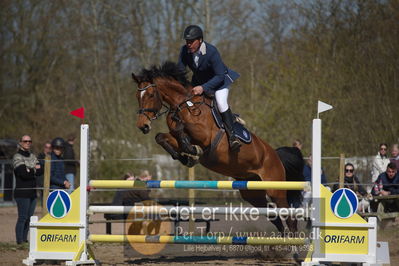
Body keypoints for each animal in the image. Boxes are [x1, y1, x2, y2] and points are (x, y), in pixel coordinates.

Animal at [133, 61, 304, 232]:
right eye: (137, 97)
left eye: (150, 95)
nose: (143, 126)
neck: (184, 105)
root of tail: (275, 155)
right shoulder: (175, 137)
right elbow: (161, 137)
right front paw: (184, 157)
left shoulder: (203, 135)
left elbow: (181, 130)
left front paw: (192, 151)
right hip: (252, 193)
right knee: (275, 218)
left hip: (275, 189)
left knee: (289, 217)